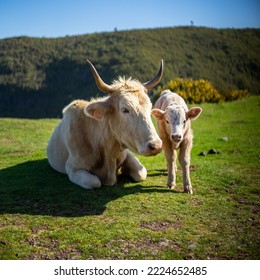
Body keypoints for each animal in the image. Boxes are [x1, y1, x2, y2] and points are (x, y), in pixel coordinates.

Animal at [46, 60, 162, 189]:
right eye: (125, 109)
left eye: (150, 107)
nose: (156, 145)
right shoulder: (73, 167)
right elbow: (94, 182)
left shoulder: (126, 154)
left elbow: (141, 173)